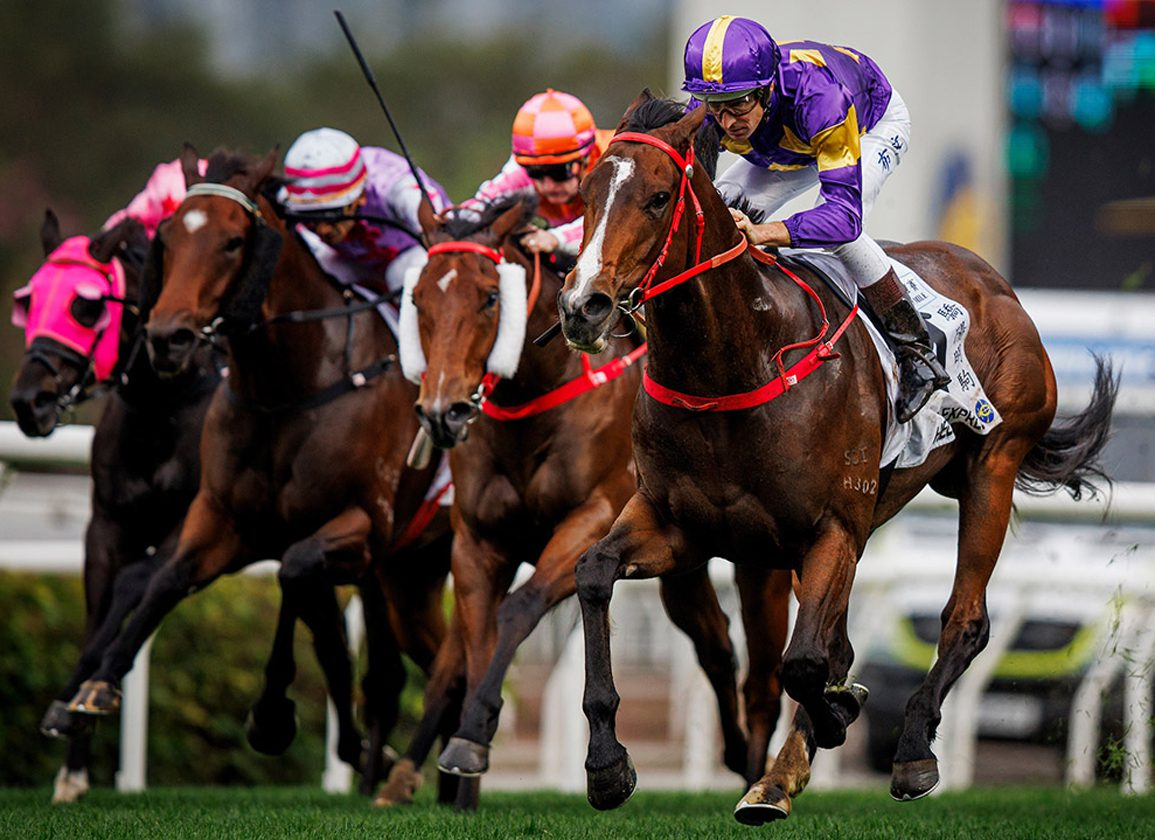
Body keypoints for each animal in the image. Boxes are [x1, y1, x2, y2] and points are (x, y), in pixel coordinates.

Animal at [57, 146, 461, 801]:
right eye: (168, 236)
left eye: (232, 241)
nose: (168, 337)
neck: (290, 389)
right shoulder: (224, 519)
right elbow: (166, 580)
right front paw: (95, 688)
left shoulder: (357, 526)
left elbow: (298, 582)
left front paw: (273, 715)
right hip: (406, 576)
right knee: (424, 659)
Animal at [368, 197, 793, 811]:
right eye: (418, 298)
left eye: (490, 296)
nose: (442, 411)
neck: (533, 406)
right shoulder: (478, 541)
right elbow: (473, 644)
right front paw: (463, 776)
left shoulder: (590, 520)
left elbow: (518, 609)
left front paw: (471, 738)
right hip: (682, 560)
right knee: (714, 641)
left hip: (760, 561)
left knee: (757, 671)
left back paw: (752, 772)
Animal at [556, 92, 1116, 823]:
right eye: (587, 195)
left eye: (656, 197)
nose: (582, 306)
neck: (736, 361)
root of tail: (993, 281)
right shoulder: (678, 525)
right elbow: (594, 574)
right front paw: (606, 764)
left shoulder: (831, 528)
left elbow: (804, 664)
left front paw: (837, 716)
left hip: (990, 467)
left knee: (963, 620)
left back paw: (909, 749)